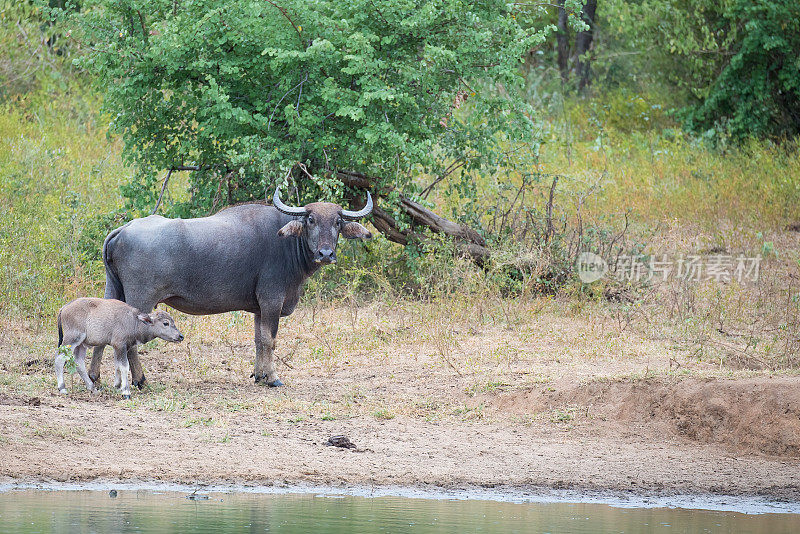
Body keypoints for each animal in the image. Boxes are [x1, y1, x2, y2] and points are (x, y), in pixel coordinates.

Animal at [87, 189, 372, 390]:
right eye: (311, 219)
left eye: (338, 222)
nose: (326, 254)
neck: (287, 241)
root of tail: (124, 228)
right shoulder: (272, 301)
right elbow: (270, 340)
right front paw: (273, 378)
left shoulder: (259, 308)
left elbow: (258, 339)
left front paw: (259, 374)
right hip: (141, 300)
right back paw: (141, 379)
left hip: (113, 291)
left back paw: (94, 375)